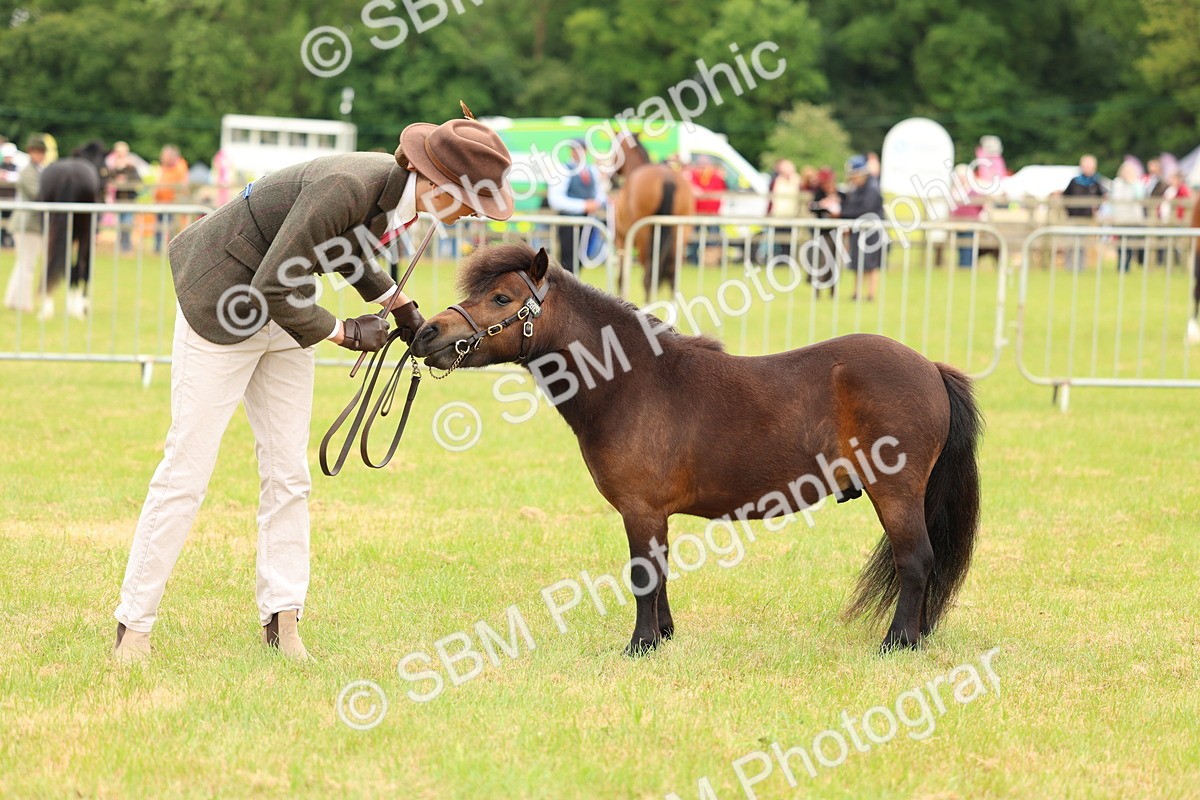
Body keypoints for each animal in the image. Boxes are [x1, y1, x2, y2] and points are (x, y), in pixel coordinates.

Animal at [39, 140, 106, 316]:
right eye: (104, 169)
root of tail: (68, 175)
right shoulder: (89, 238)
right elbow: (85, 269)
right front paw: (82, 306)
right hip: (84, 232)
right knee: (79, 267)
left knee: (56, 263)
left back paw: (47, 307)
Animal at [412, 243, 984, 654]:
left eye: (502, 299)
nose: (425, 332)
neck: (632, 382)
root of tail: (931, 368)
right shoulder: (654, 514)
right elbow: (659, 573)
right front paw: (662, 637)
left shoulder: (640, 509)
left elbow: (642, 575)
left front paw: (640, 646)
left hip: (896, 492)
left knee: (916, 559)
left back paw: (898, 643)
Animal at [611, 134, 695, 302]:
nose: (612, 177)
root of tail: (667, 178)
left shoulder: (621, 239)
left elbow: (621, 275)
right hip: (681, 232)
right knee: (672, 274)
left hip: (644, 235)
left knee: (648, 275)